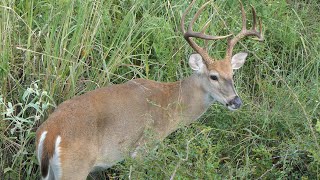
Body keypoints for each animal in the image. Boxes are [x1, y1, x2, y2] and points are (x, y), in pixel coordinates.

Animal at [36, 0, 264, 179]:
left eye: (232, 74)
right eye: (213, 76)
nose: (236, 101)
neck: (171, 104)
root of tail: (49, 133)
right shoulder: (143, 148)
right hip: (75, 168)